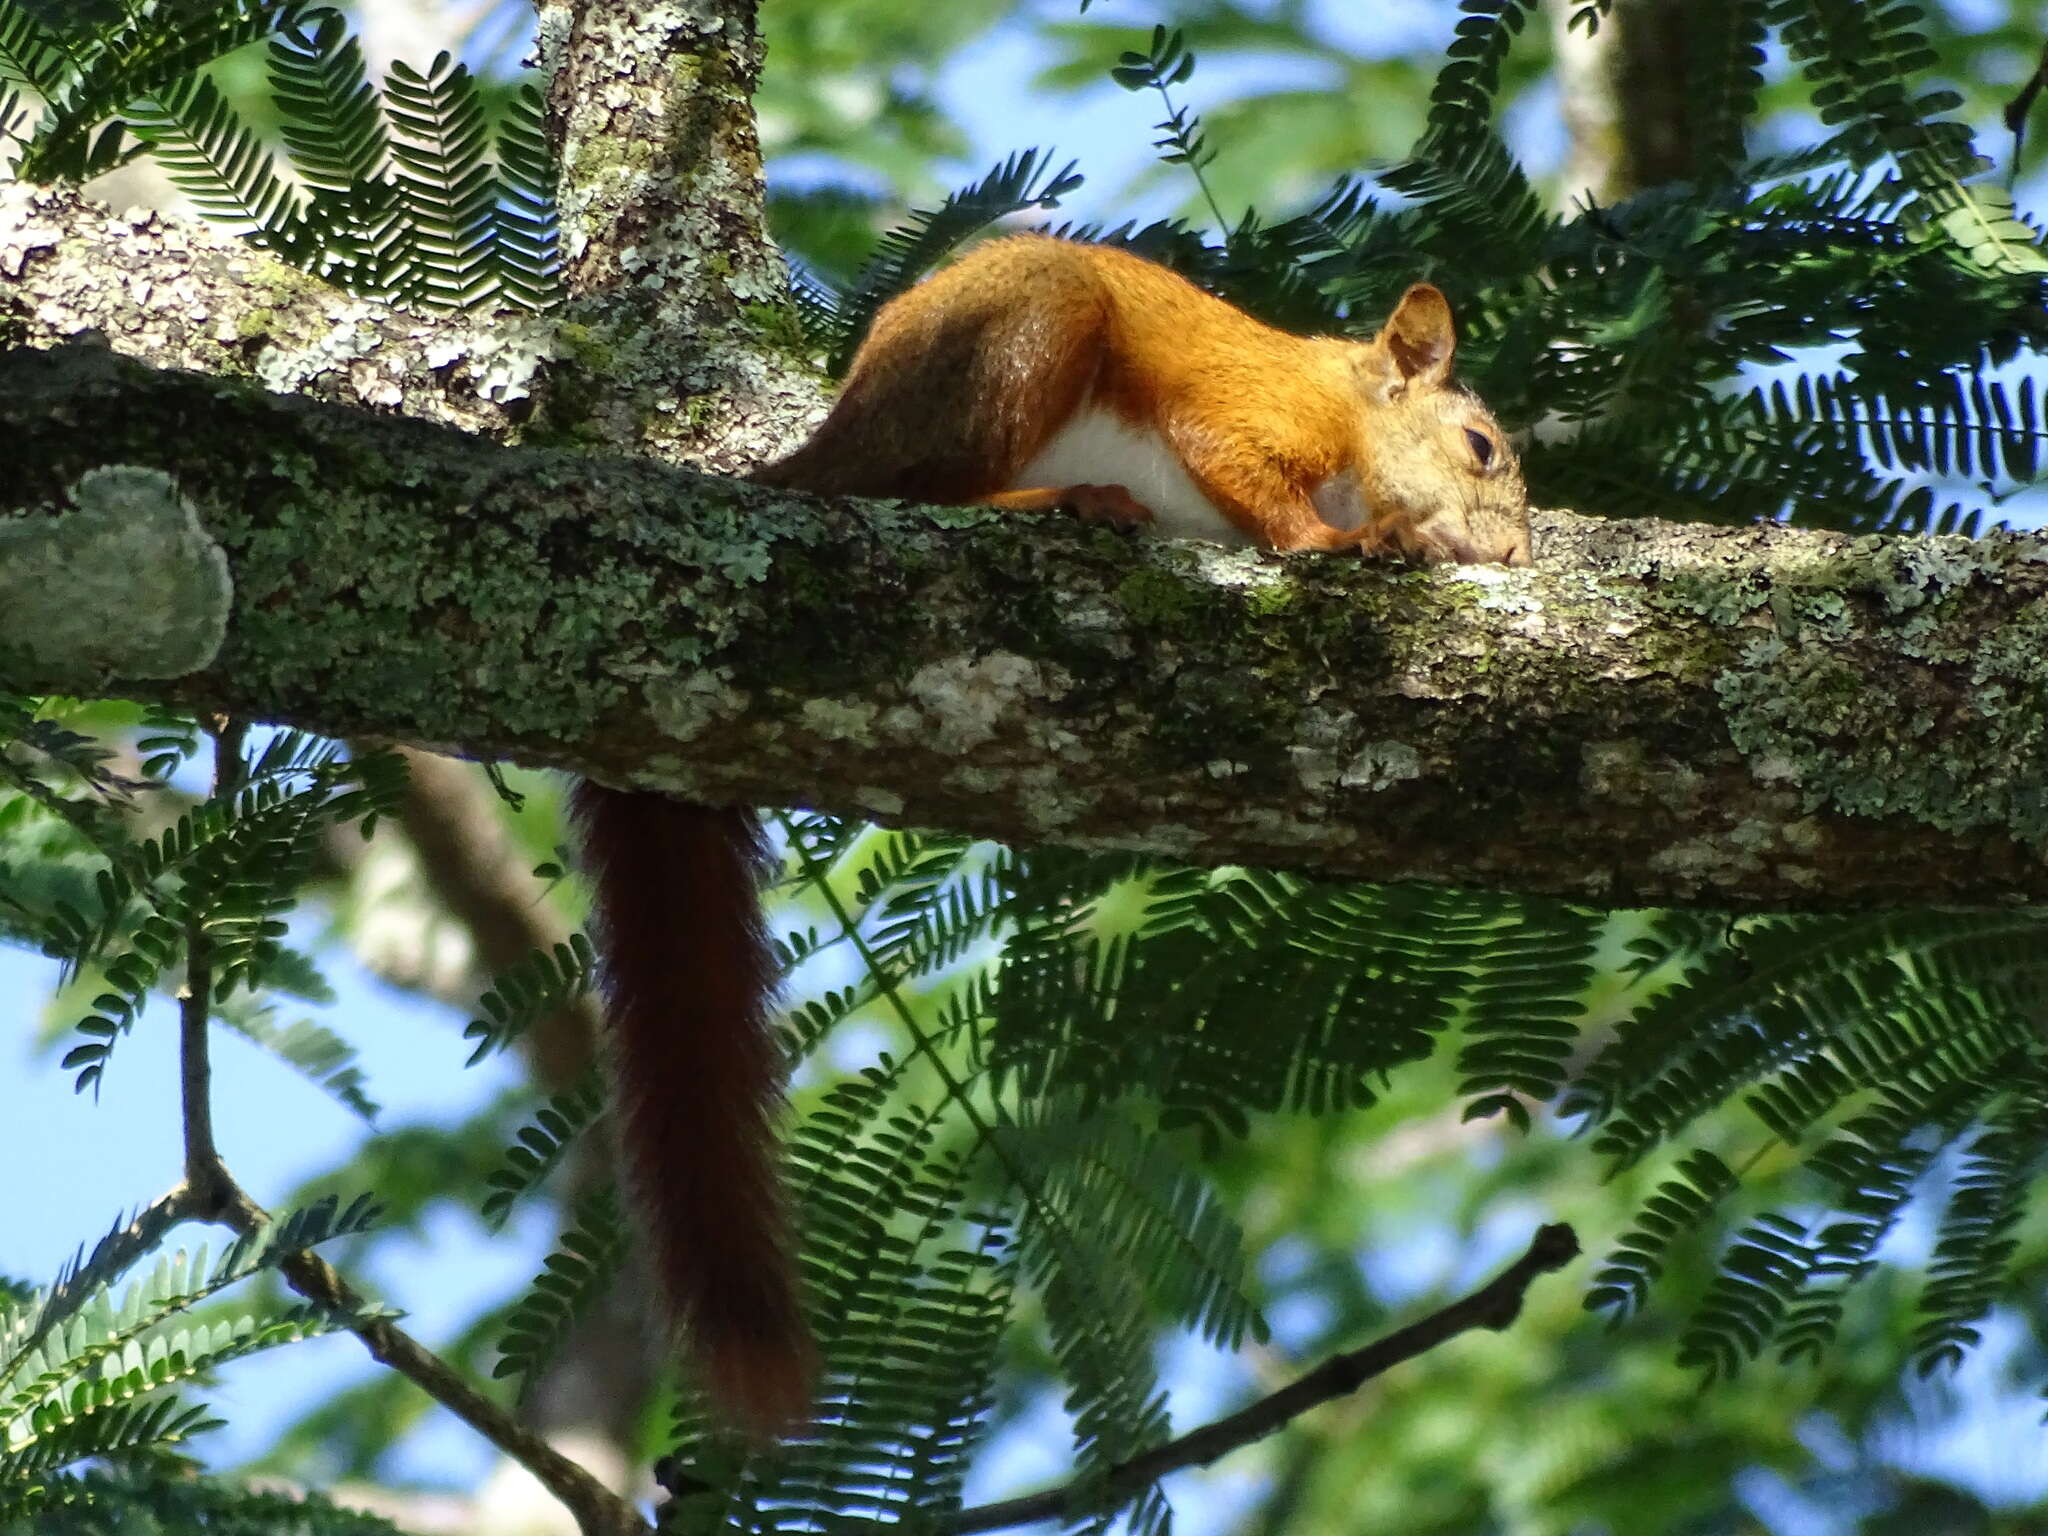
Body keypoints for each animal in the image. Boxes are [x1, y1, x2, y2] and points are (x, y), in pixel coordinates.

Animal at [569, 231, 1531, 1441]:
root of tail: (830, 439)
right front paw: (1352, 539)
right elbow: (1250, 479)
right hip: (1022, 338)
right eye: (1480, 446)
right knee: (920, 490)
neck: (1350, 406)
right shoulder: (1253, 411)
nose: (1516, 555)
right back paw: (1061, 497)